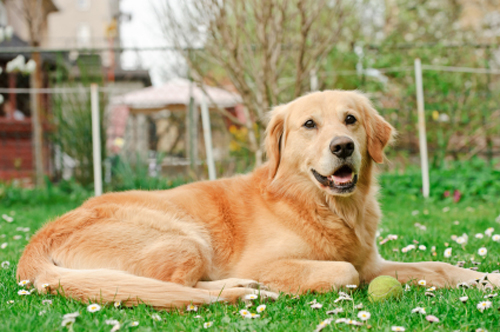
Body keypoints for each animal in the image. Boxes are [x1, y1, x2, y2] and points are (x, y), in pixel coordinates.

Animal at [17, 90, 498, 308]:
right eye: (309, 124)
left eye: (351, 119)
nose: (343, 146)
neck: (321, 206)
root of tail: (35, 243)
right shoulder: (277, 261)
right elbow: (342, 271)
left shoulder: (373, 264)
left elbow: (439, 266)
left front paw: (484, 278)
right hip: (185, 236)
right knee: (174, 286)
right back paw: (244, 289)